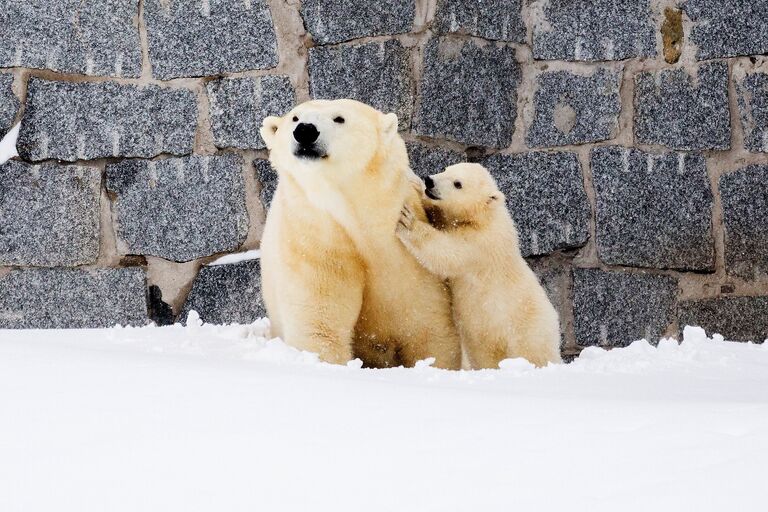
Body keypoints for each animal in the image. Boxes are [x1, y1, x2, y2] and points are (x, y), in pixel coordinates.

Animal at [258, 99, 462, 368]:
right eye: (294, 118)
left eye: (339, 118)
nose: (305, 130)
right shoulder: (315, 235)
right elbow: (319, 323)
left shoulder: (403, 252)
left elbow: (427, 325)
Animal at [396, 164, 560, 368]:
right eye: (446, 169)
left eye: (458, 183)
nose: (429, 181)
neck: (483, 217)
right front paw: (416, 184)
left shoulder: (480, 244)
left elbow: (449, 253)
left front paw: (407, 221)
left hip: (527, 330)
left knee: (532, 353)